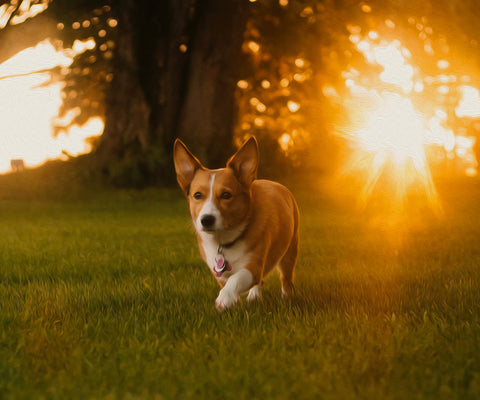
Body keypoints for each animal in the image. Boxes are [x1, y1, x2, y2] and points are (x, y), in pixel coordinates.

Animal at [174, 136, 298, 310]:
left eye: (226, 195)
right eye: (197, 195)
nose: (206, 219)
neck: (224, 241)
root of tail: (275, 183)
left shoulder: (253, 268)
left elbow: (236, 279)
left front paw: (225, 298)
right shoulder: (218, 272)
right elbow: (226, 282)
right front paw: (234, 301)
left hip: (290, 251)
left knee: (286, 278)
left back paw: (286, 297)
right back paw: (254, 296)